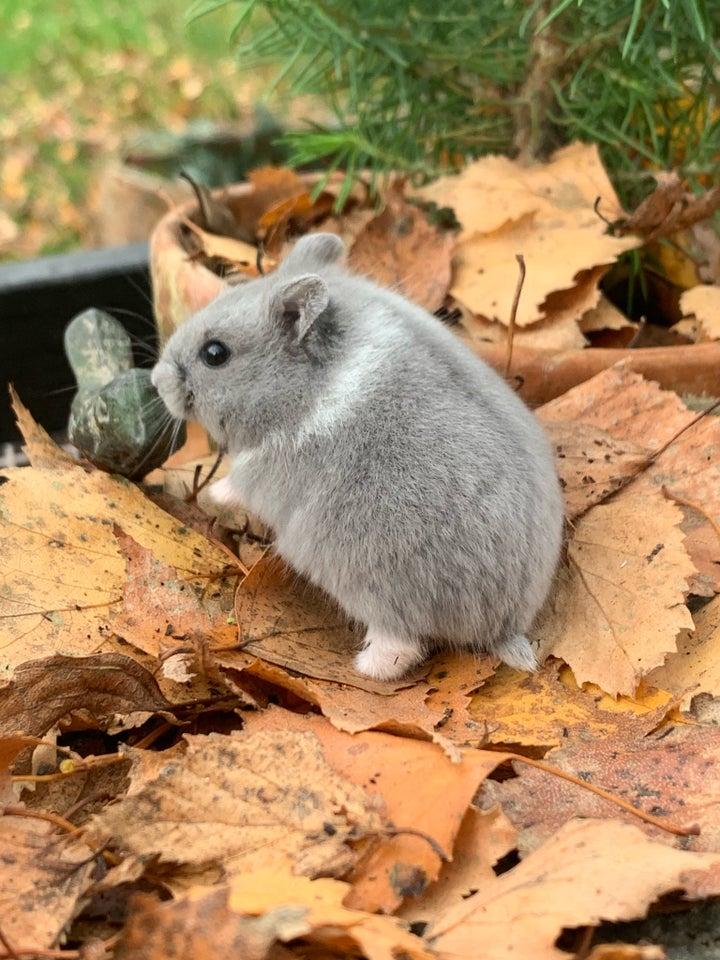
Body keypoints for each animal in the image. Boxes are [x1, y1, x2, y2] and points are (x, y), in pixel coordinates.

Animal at [152, 232, 564, 684]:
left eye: (215, 353)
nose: (154, 380)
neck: (306, 388)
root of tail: (504, 627)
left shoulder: (257, 474)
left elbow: (232, 486)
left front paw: (211, 493)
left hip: (372, 591)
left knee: (401, 649)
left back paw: (361, 668)